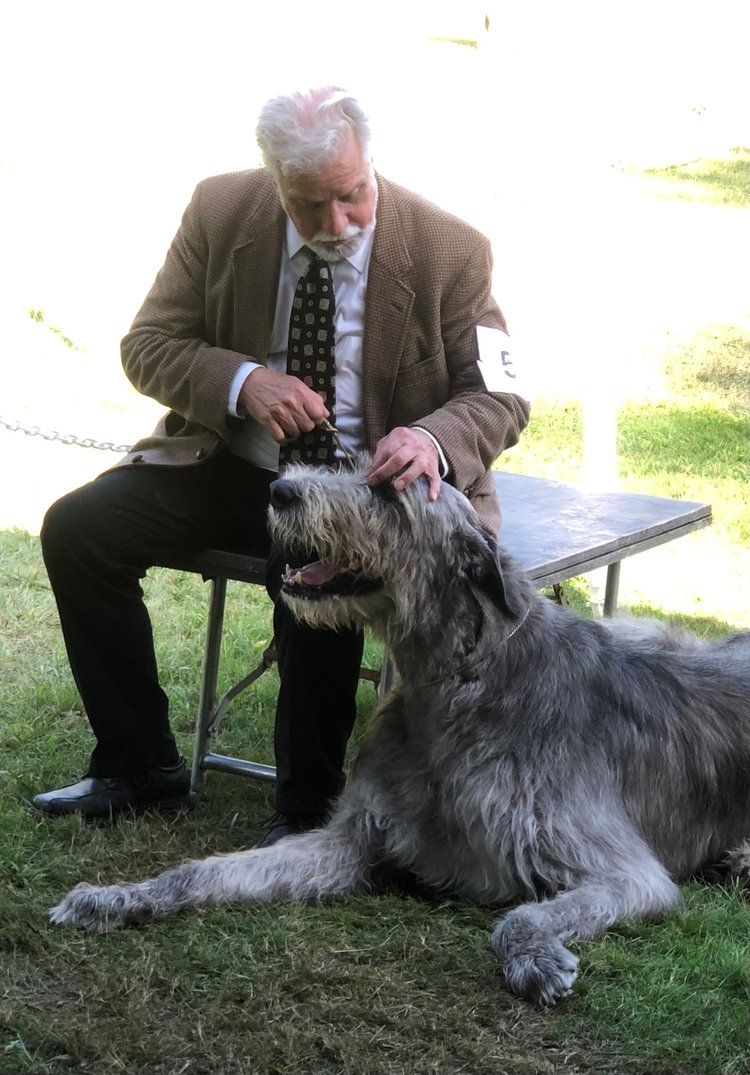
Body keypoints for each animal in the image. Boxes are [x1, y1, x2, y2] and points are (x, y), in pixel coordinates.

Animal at [49, 464, 743, 1006]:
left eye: (387, 490)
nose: (279, 489)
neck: (460, 684)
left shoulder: (623, 870)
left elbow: (521, 916)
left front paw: (535, 957)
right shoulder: (355, 837)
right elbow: (206, 871)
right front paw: (114, 897)